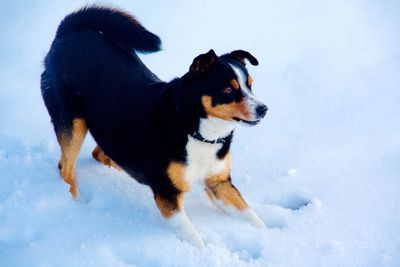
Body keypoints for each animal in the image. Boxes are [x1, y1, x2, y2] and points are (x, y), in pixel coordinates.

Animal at [40, 5, 268, 248]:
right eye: (228, 89)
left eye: (250, 85)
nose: (264, 109)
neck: (195, 131)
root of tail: (68, 33)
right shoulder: (167, 193)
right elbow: (193, 235)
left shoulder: (219, 183)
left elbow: (251, 216)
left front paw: (271, 237)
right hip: (73, 124)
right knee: (65, 169)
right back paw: (79, 202)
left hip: (110, 127)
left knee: (100, 154)